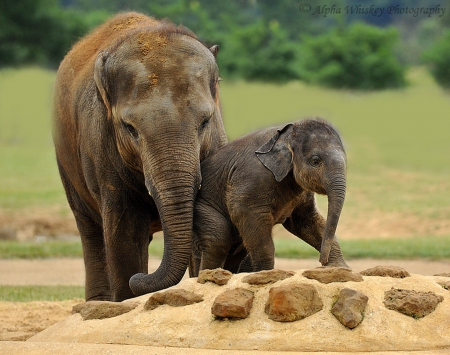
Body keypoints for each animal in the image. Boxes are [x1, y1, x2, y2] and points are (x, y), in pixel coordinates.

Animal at [53, 12, 229, 302]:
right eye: (130, 128)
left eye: (205, 121)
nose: (140, 279)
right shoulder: (102, 149)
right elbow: (124, 232)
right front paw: (128, 294)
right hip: (66, 162)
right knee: (89, 229)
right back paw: (97, 302)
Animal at [192, 118, 350, 276]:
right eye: (315, 161)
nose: (321, 261)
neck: (288, 134)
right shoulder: (253, 176)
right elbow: (244, 213)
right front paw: (266, 273)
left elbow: (307, 220)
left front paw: (340, 268)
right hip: (202, 209)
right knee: (218, 240)